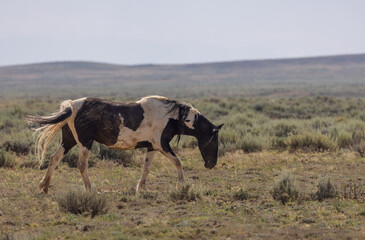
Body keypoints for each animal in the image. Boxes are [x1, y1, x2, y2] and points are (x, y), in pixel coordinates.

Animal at [27, 95, 222, 193]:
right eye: (214, 140)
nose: (211, 164)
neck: (171, 117)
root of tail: (72, 106)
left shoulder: (151, 147)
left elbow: (146, 167)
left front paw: (141, 188)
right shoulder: (162, 145)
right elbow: (178, 162)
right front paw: (181, 185)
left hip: (69, 140)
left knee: (54, 158)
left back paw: (44, 186)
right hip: (84, 143)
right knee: (81, 165)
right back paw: (90, 189)